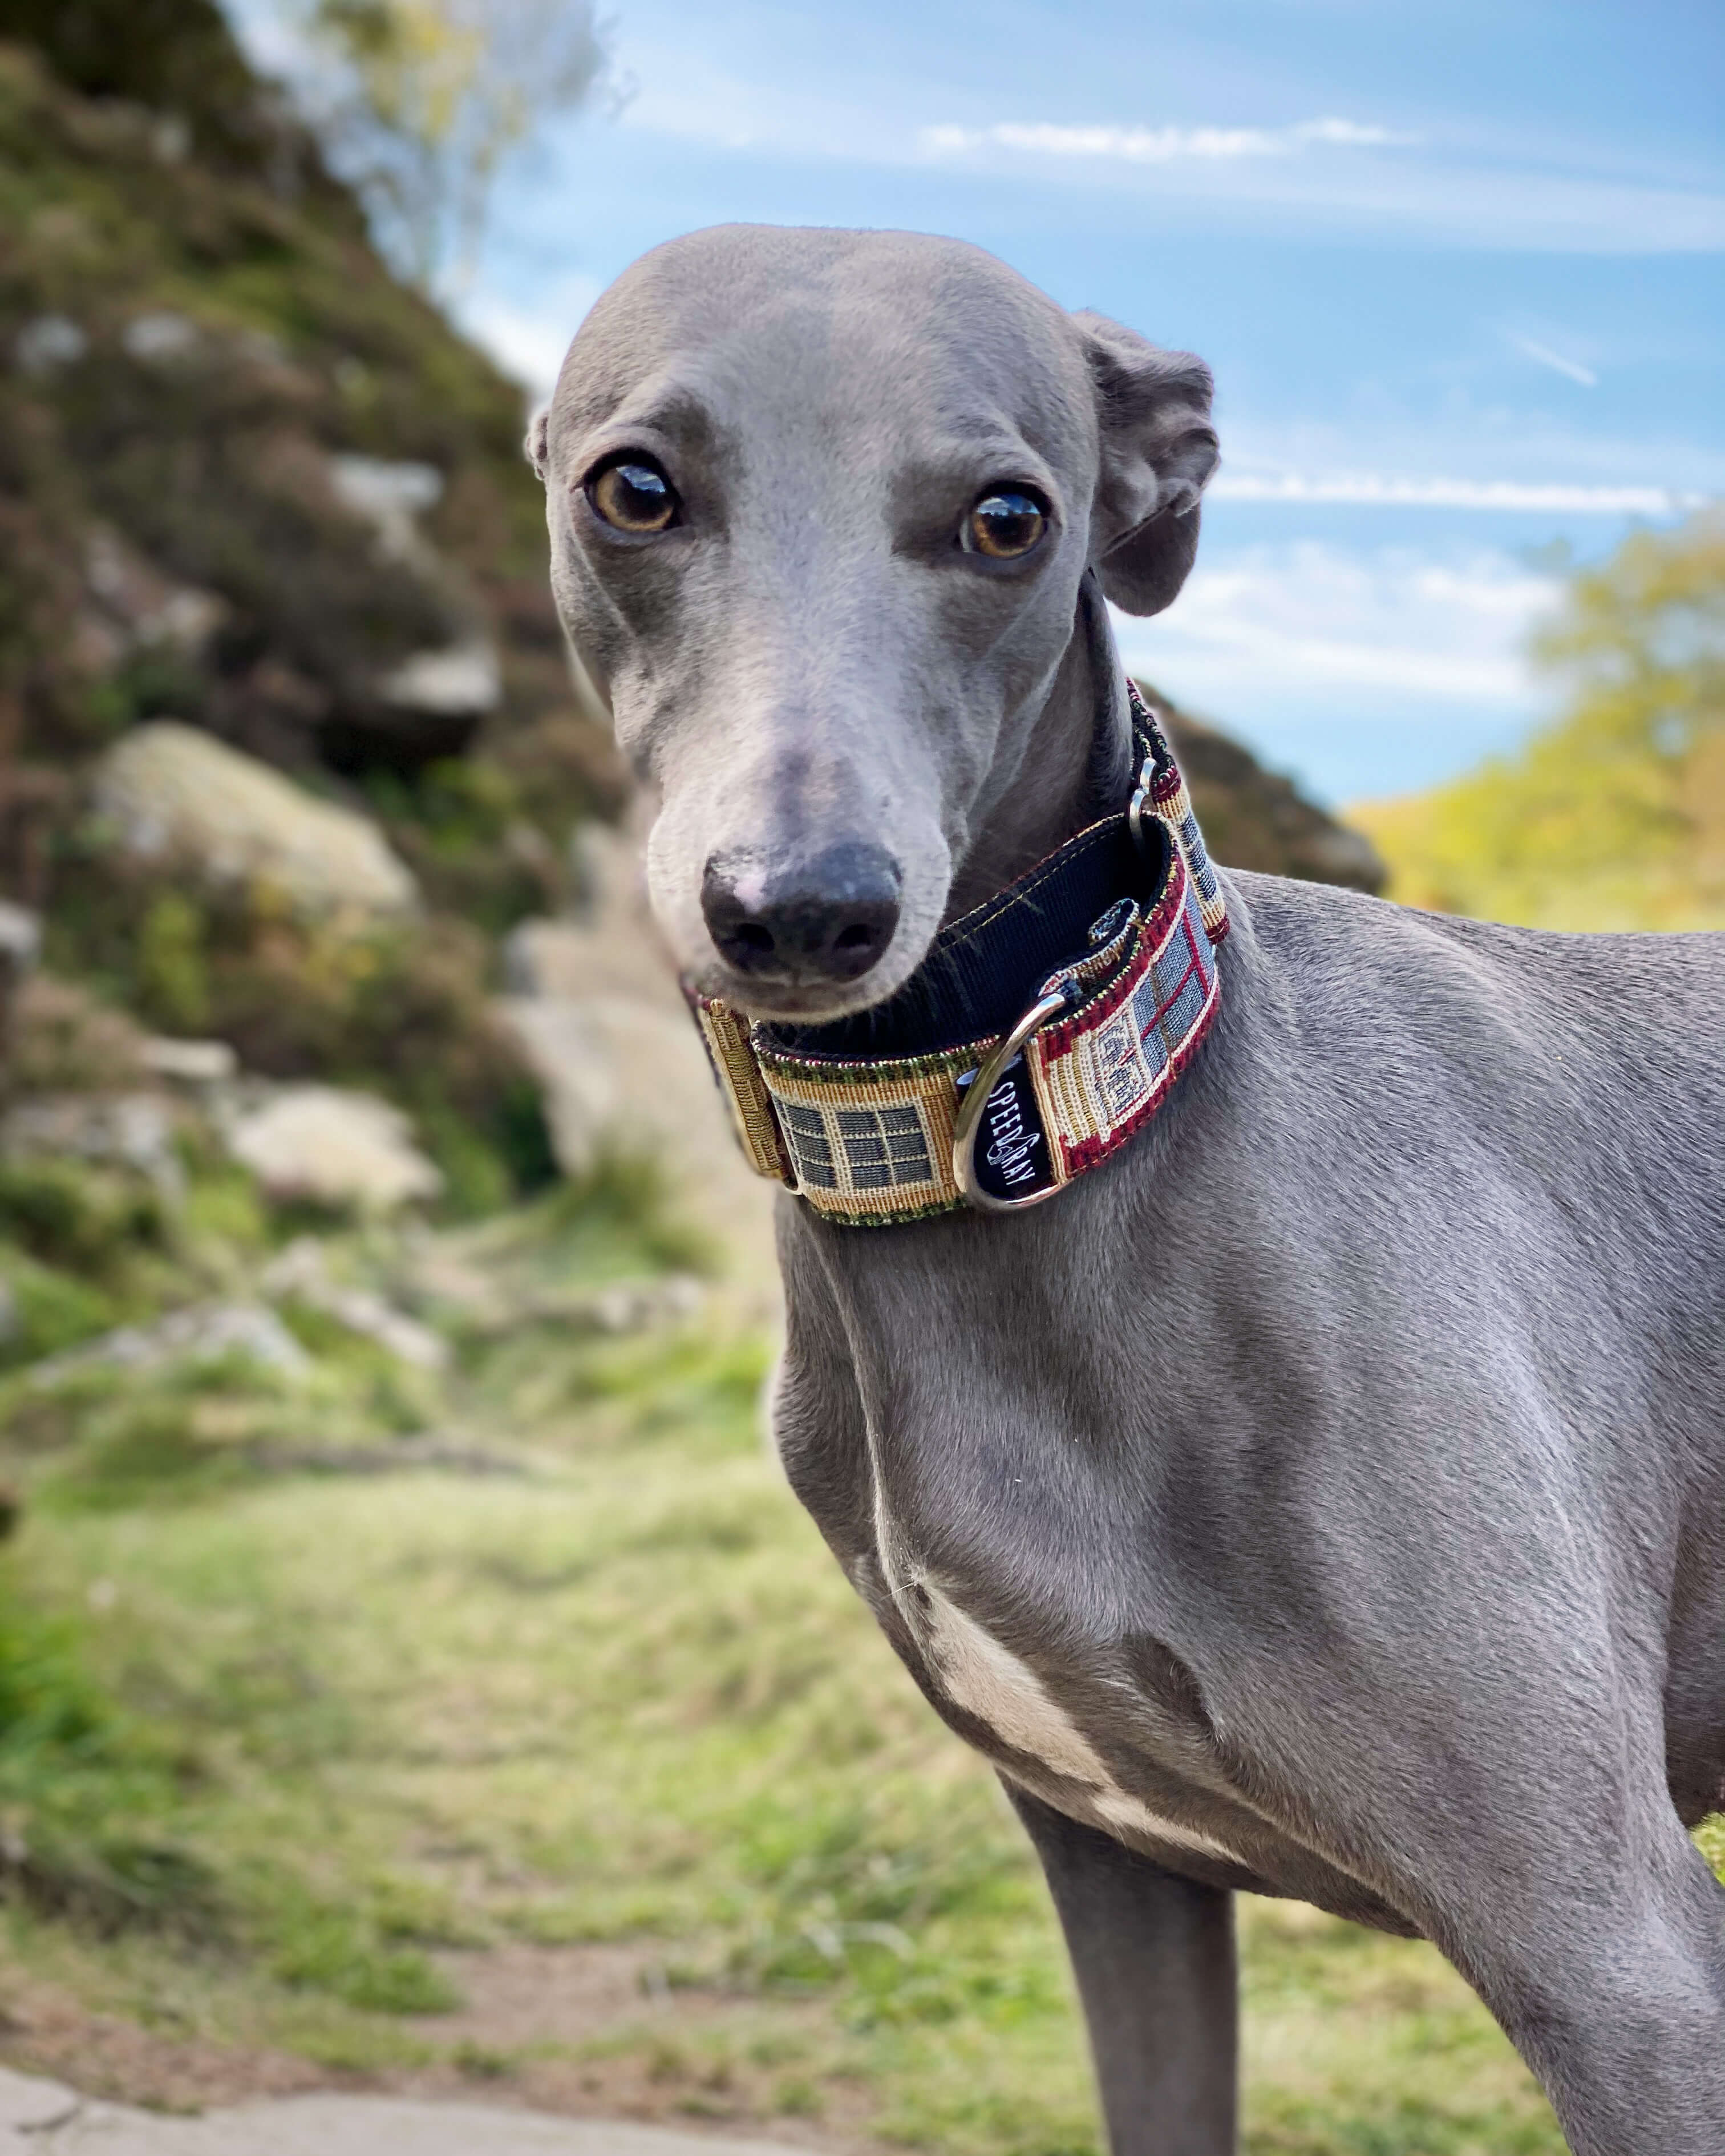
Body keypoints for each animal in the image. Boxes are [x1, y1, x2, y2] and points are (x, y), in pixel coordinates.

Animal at [526, 227, 1725, 2147]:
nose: (803, 910)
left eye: (1010, 518)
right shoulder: (1118, 1869)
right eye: (631, 488)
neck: (1059, 1108)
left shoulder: (1625, 1965)